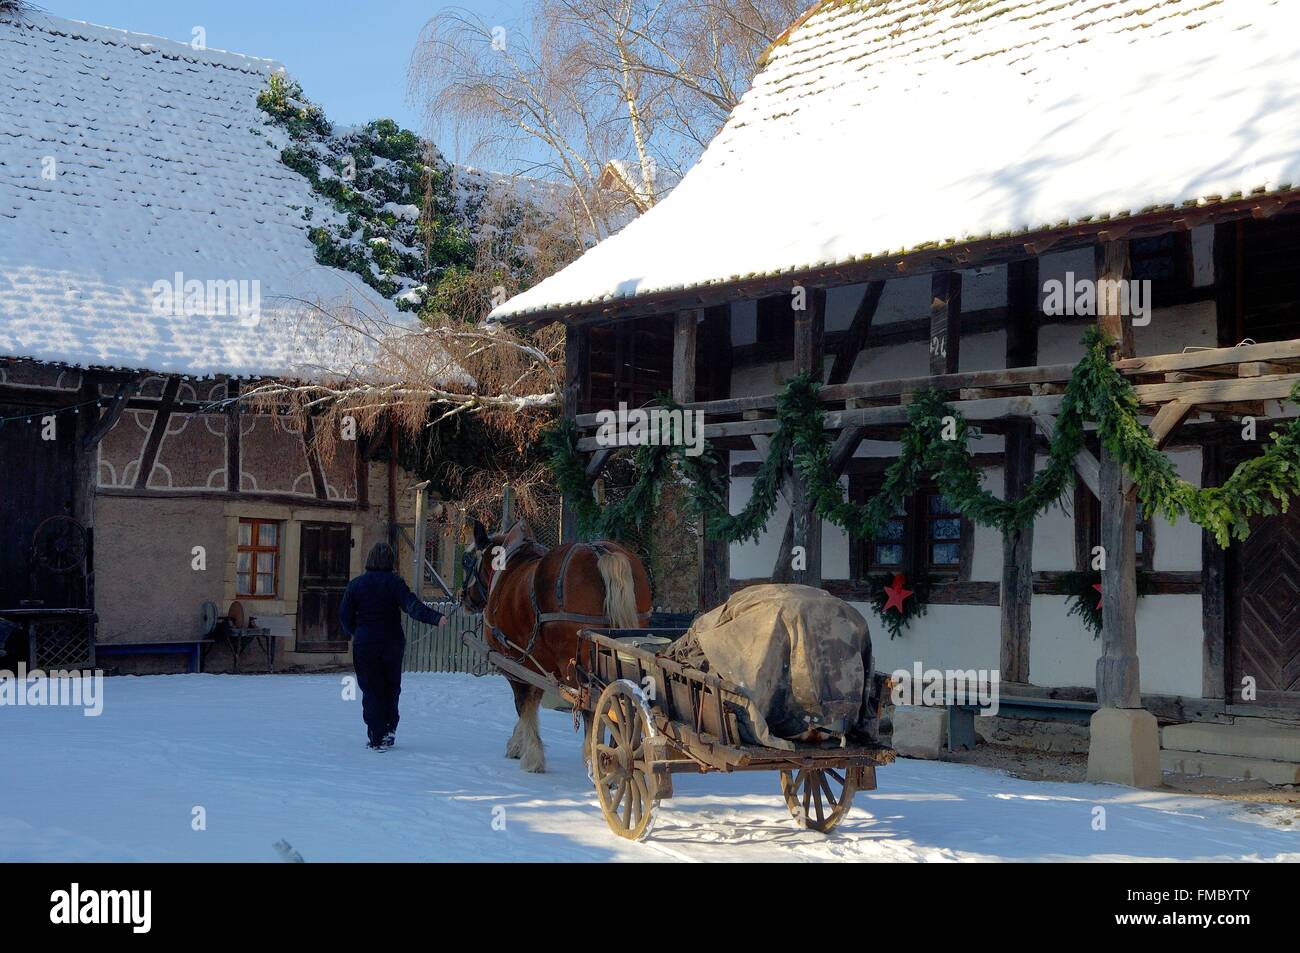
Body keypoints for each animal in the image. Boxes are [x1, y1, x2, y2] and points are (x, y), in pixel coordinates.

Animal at [462, 517, 655, 769]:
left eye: (466, 560)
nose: (463, 597)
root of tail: (602, 553)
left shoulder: (515, 663)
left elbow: (523, 704)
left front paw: (531, 755)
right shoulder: (539, 665)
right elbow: (533, 702)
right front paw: (518, 745)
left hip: (577, 665)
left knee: (592, 707)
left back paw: (595, 760)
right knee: (620, 707)